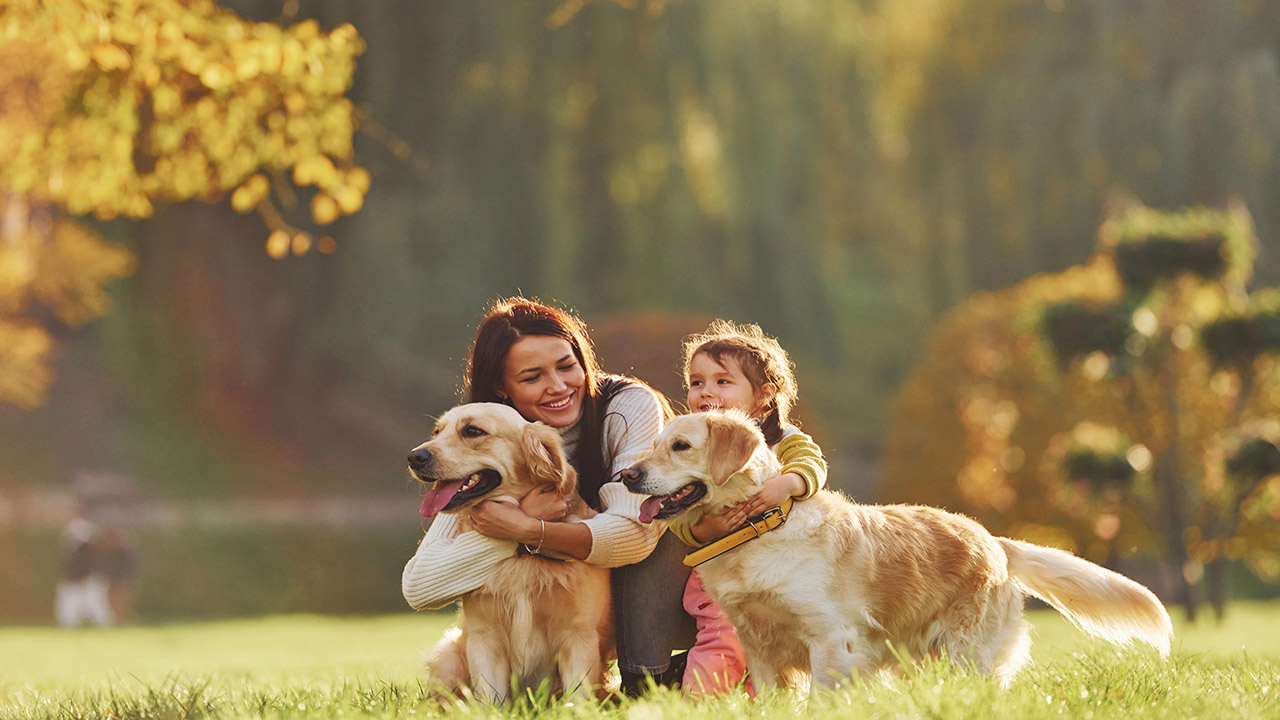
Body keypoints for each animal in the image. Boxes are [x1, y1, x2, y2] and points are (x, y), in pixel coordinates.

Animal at [407, 404, 611, 702]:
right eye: (437, 431)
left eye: (472, 431)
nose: (414, 457)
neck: (521, 555)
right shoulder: (484, 637)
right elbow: (490, 701)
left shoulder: (579, 637)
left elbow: (577, 700)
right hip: (448, 656)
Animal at [619, 412, 1172, 691]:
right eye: (656, 443)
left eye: (681, 446)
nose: (626, 475)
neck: (760, 527)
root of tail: (993, 540)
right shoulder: (759, 647)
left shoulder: (830, 640)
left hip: (966, 654)